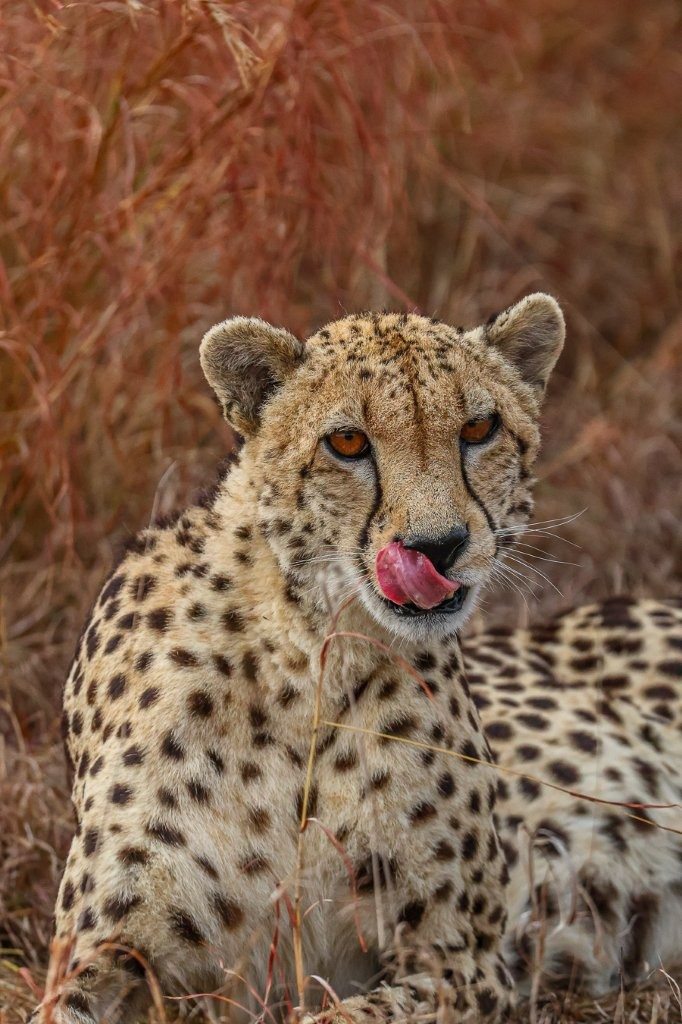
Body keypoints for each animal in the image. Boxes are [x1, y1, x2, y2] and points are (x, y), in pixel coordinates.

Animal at [33, 294, 681, 1023]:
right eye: (346, 443)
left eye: (479, 428)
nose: (437, 545)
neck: (302, 657)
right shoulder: (102, 950)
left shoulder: (462, 961)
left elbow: (345, 1012)